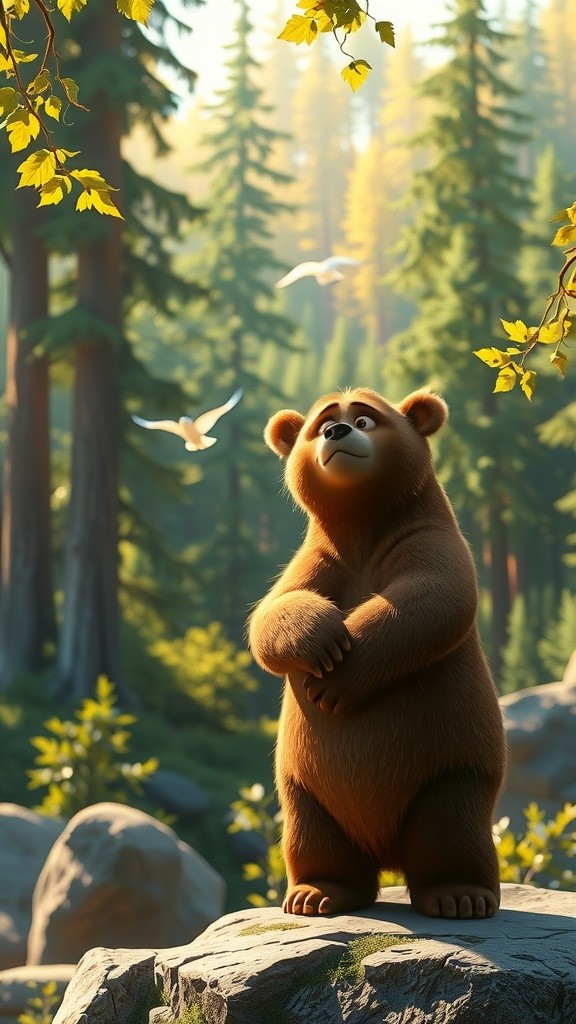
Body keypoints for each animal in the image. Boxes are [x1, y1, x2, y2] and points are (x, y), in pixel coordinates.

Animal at [248, 387, 506, 920]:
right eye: (320, 422)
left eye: (365, 417)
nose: (336, 431)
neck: (362, 524)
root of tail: (386, 853)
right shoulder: (322, 558)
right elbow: (273, 611)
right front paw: (321, 635)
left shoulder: (425, 537)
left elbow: (431, 598)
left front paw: (339, 679)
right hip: (304, 784)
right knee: (315, 836)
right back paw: (317, 893)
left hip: (451, 765)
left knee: (451, 826)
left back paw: (459, 894)